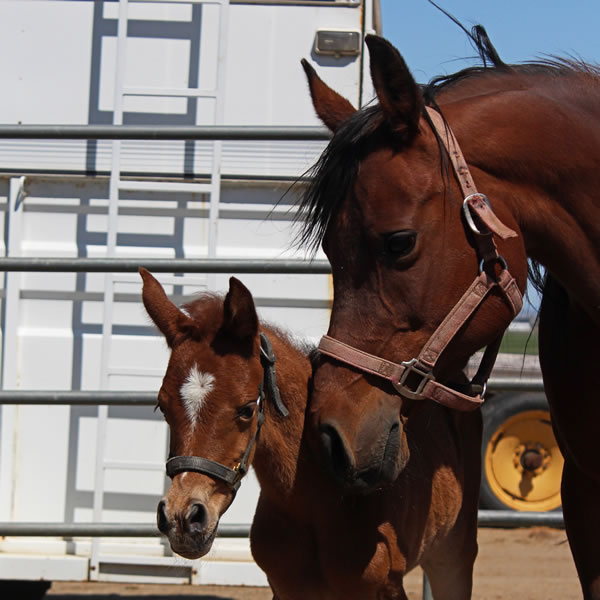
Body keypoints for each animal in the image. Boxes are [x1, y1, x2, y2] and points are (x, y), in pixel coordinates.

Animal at [139, 268, 478, 600]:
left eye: (246, 409)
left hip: (455, 555)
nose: (183, 518)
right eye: (162, 407)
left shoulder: (387, 589)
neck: (319, 505)